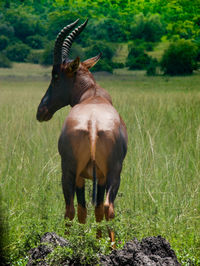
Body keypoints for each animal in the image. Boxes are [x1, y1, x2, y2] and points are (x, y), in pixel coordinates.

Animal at [36, 18, 127, 243]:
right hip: (111, 172)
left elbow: (85, 210)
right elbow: (93, 209)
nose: (41, 111)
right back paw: (110, 246)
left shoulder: (86, 176)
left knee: (73, 208)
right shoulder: (99, 176)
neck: (92, 95)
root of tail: (93, 123)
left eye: (56, 75)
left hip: (69, 170)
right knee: (105, 207)